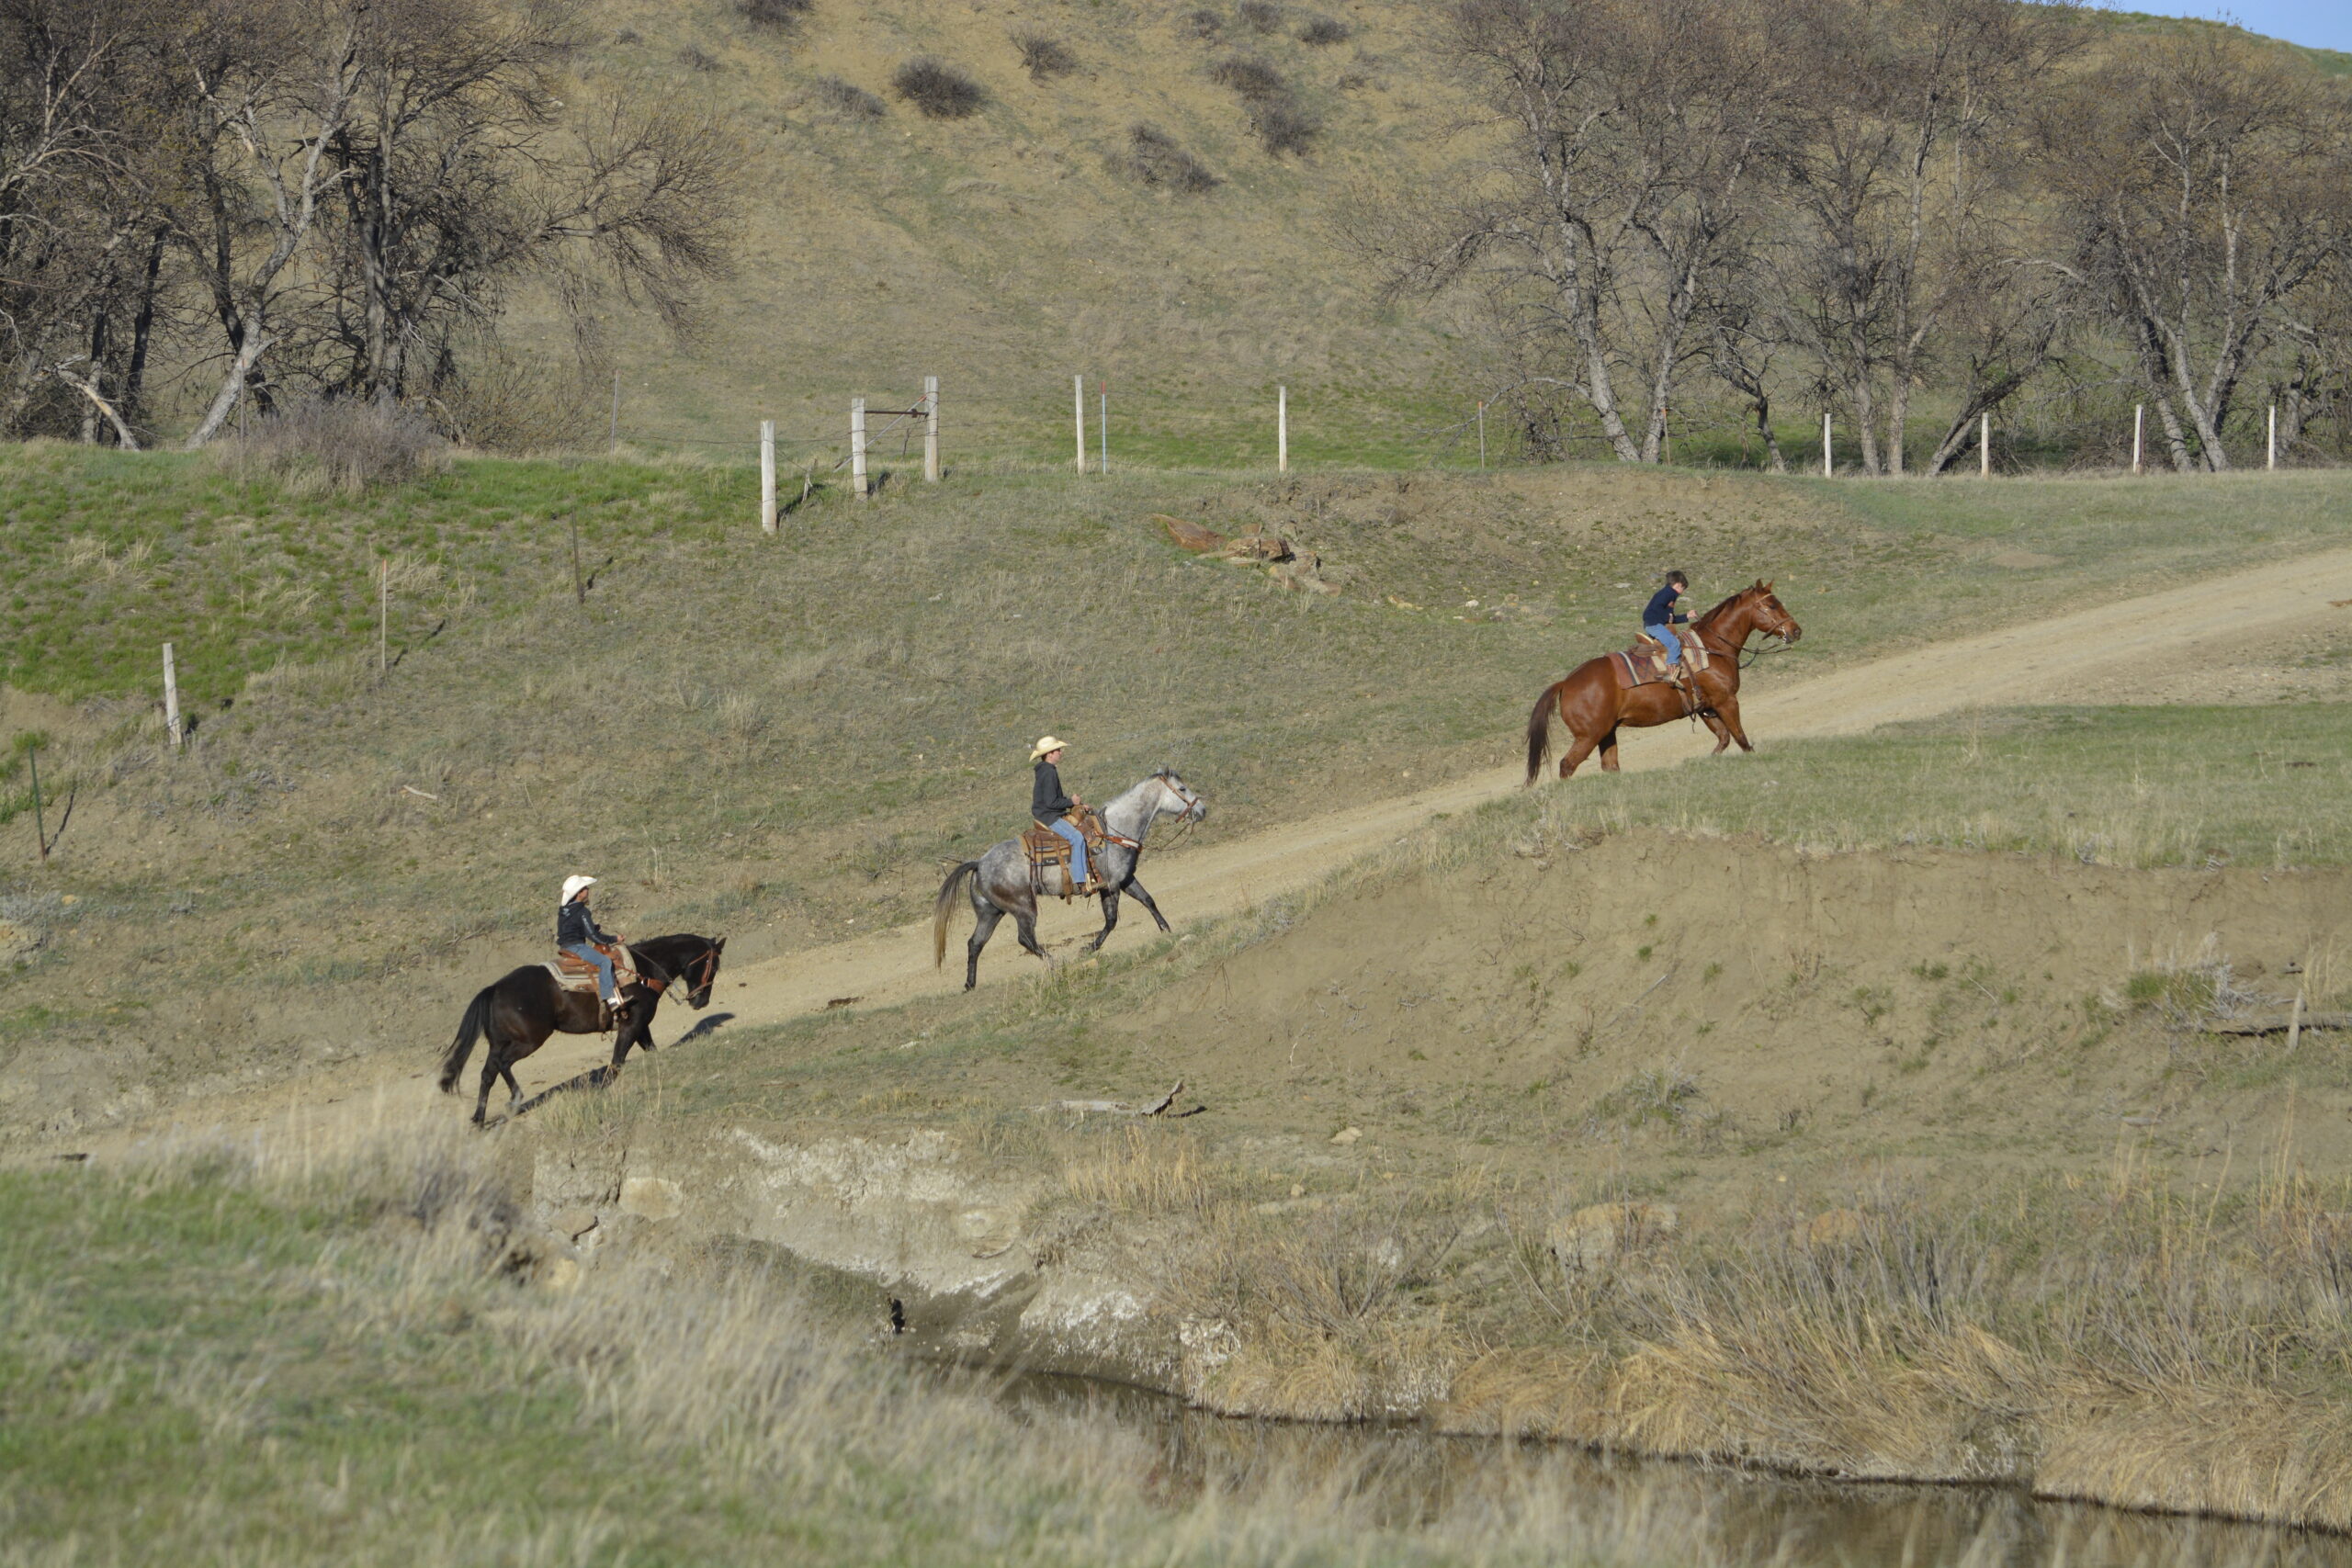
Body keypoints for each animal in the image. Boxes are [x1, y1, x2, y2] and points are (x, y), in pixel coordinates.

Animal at [436, 932, 726, 1124]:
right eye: (713, 966)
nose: (701, 1001)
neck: (644, 970)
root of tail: (495, 988)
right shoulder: (633, 1024)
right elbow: (617, 1060)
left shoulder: (640, 1025)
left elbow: (650, 1050)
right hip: (528, 1041)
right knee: (503, 1064)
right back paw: (515, 1098)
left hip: (499, 1043)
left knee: (488, 1072)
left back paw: (478, 1118)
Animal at [932, 769, 1208, 990]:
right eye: (1182, 788)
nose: (1202, 809)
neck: (1113, 830)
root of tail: (979, 864)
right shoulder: (1111, 886)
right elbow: (1111, 920)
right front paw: (1089, 948)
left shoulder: (1126, 879)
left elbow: (1148, 900)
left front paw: (1166, 929)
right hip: (1023, 908)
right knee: (1024, 938)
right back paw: (1055, 962)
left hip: (991, 913)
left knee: (975, 943)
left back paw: (970, 984)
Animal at [1525, 580, 1802, 784]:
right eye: (1772, 605)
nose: (1796, 631)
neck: (1712, 648)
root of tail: (1566, 683)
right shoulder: (1726, 702)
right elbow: (1741, 739)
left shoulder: (1706, 708)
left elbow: (1723, 739)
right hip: (1588, 736)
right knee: (1567, 765)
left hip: (1607, 733)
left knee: (1610, 766)